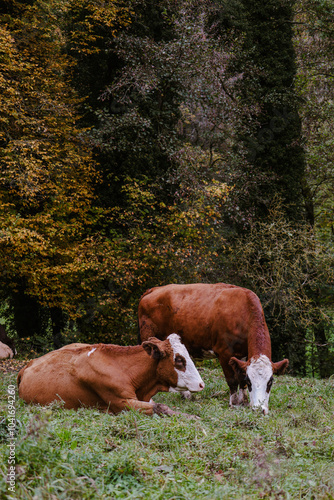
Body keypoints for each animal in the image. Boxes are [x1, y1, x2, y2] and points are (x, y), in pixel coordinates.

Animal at [138, 284, 290, 416]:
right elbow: (232, 379)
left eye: (270, 381)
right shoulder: (224, 353)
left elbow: (240, 378)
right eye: (250, 381)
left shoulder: (243, 356)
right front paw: (234, 403)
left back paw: (185, 394)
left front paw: (244, 402)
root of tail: (154, 289)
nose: (259, 410)